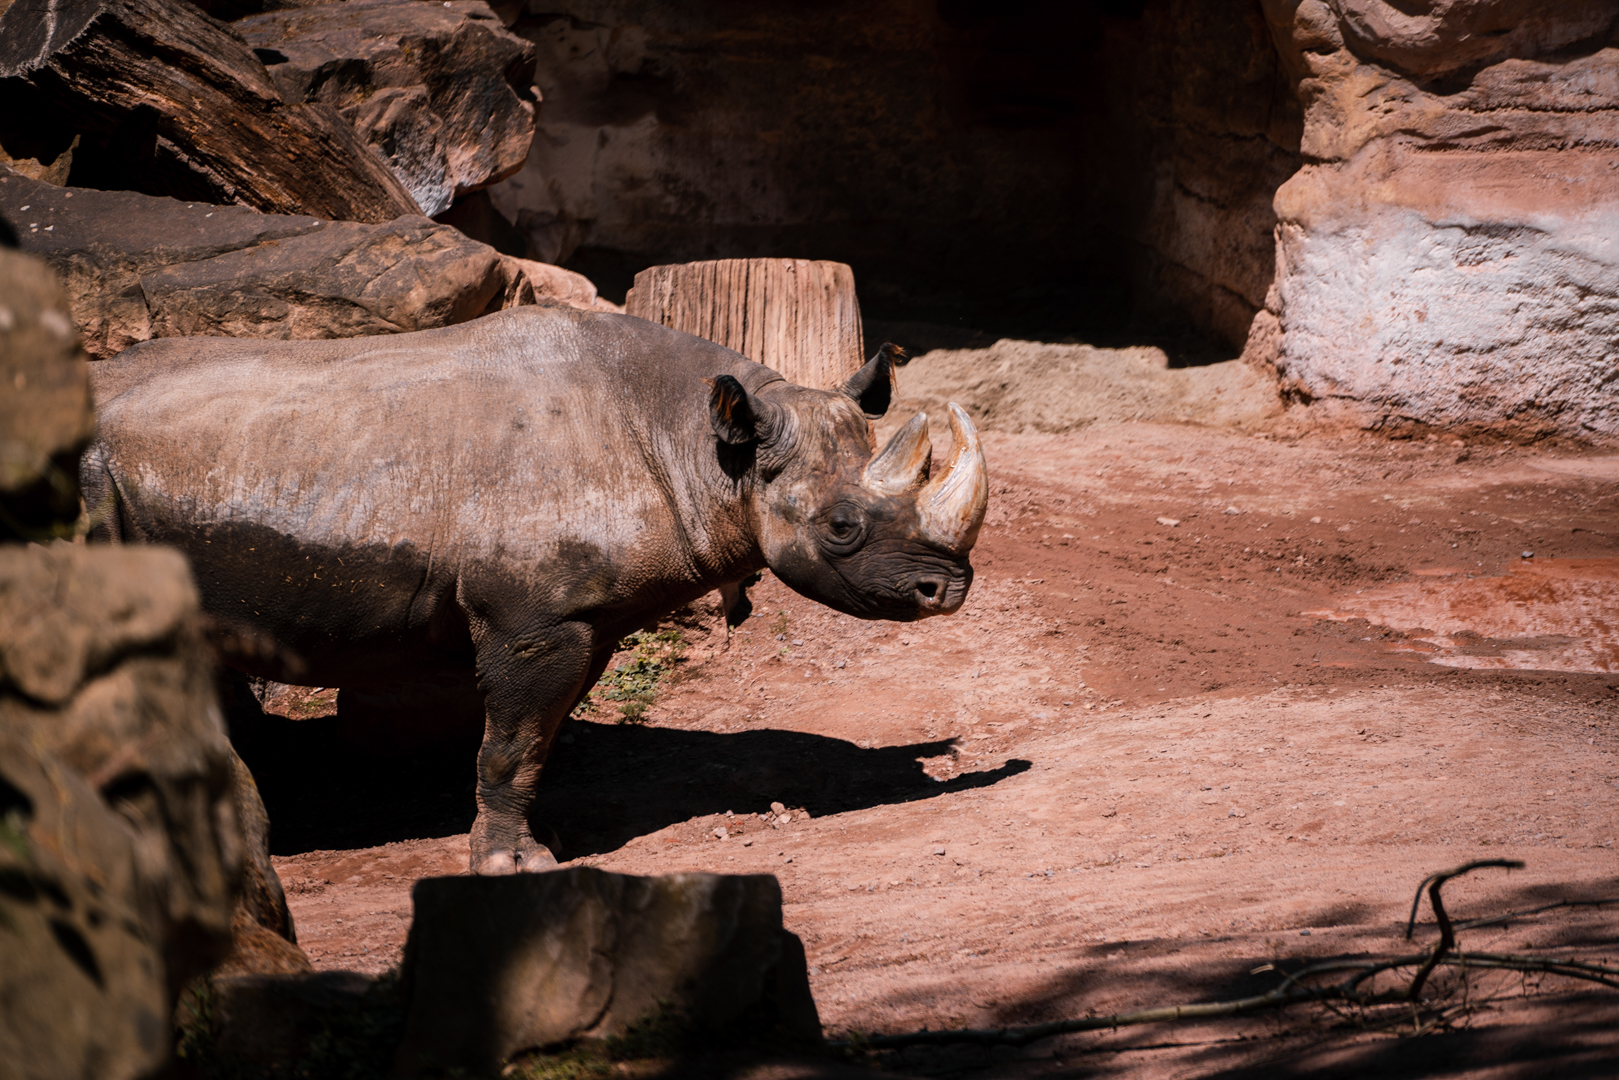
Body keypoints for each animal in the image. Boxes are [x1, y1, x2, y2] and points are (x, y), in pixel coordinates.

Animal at [83, 305, 988, 873]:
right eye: (841, 528)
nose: (944, 592)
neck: (701, 449)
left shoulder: (586, 617)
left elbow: (533, 743)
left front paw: (536, 838)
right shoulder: (532, 618)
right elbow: (511, 743)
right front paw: (513, 864)